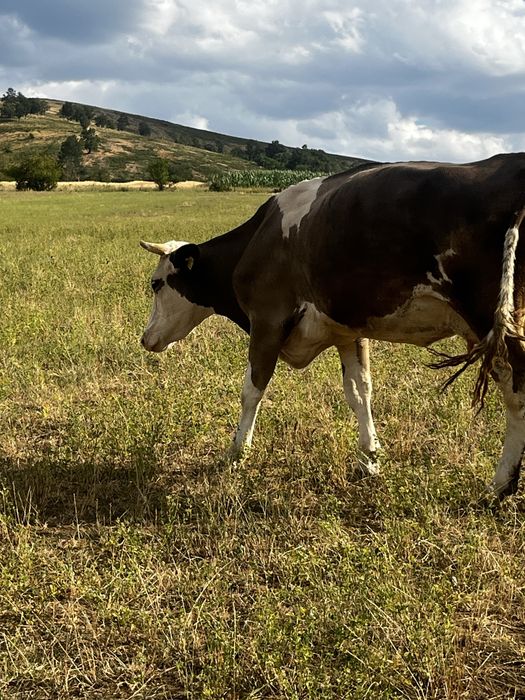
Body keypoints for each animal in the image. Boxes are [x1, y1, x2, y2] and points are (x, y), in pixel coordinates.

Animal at [140, 153, 525, 499]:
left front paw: (235, 454)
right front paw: (369, 458)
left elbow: (251, 390)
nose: (145, 339)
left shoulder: (267, 320)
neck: (255, 241)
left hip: (490, 320)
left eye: (156, 283)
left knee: (517, 393)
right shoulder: (347, 331)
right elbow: (359, 391)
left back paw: (500, 484)